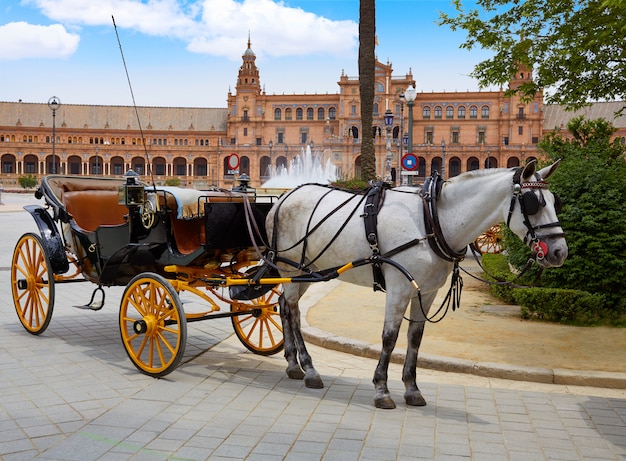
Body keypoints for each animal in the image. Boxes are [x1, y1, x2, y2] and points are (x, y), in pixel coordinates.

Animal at [264, 160, 564, 408]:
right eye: (534, 202)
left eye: (555, 201)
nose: (559, 251)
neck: (431, 220)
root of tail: (282, 198)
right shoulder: (398, 289)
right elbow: (389, 337)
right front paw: (382, 389)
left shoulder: (428, 292)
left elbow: (415, 338)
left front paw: (412, 388)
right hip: (291, 267)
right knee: (293, 311)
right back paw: (309, 369)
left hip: (308, 271)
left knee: (284, 306)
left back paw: (293, 364)